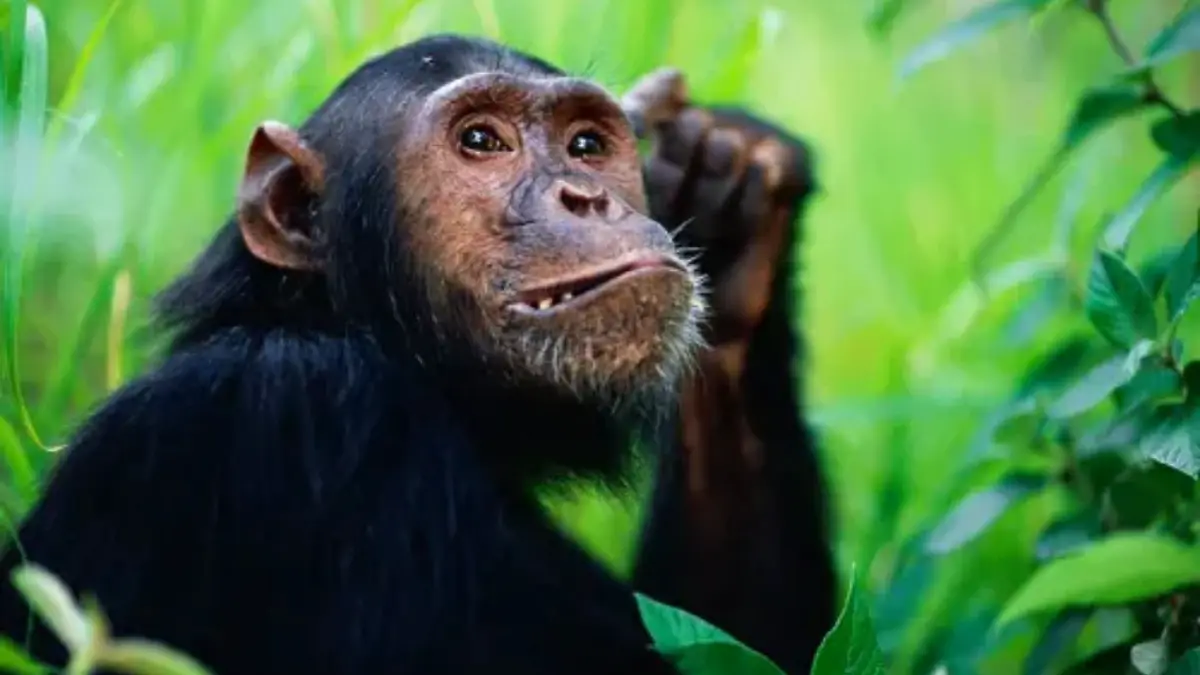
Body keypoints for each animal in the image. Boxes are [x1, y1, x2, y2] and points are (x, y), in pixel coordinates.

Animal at [0, 34, 828, 675]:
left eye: (587, 145)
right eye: (481, 141)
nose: (585, 196)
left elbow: (733, 640)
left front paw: (731, 175)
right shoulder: (310, 410)